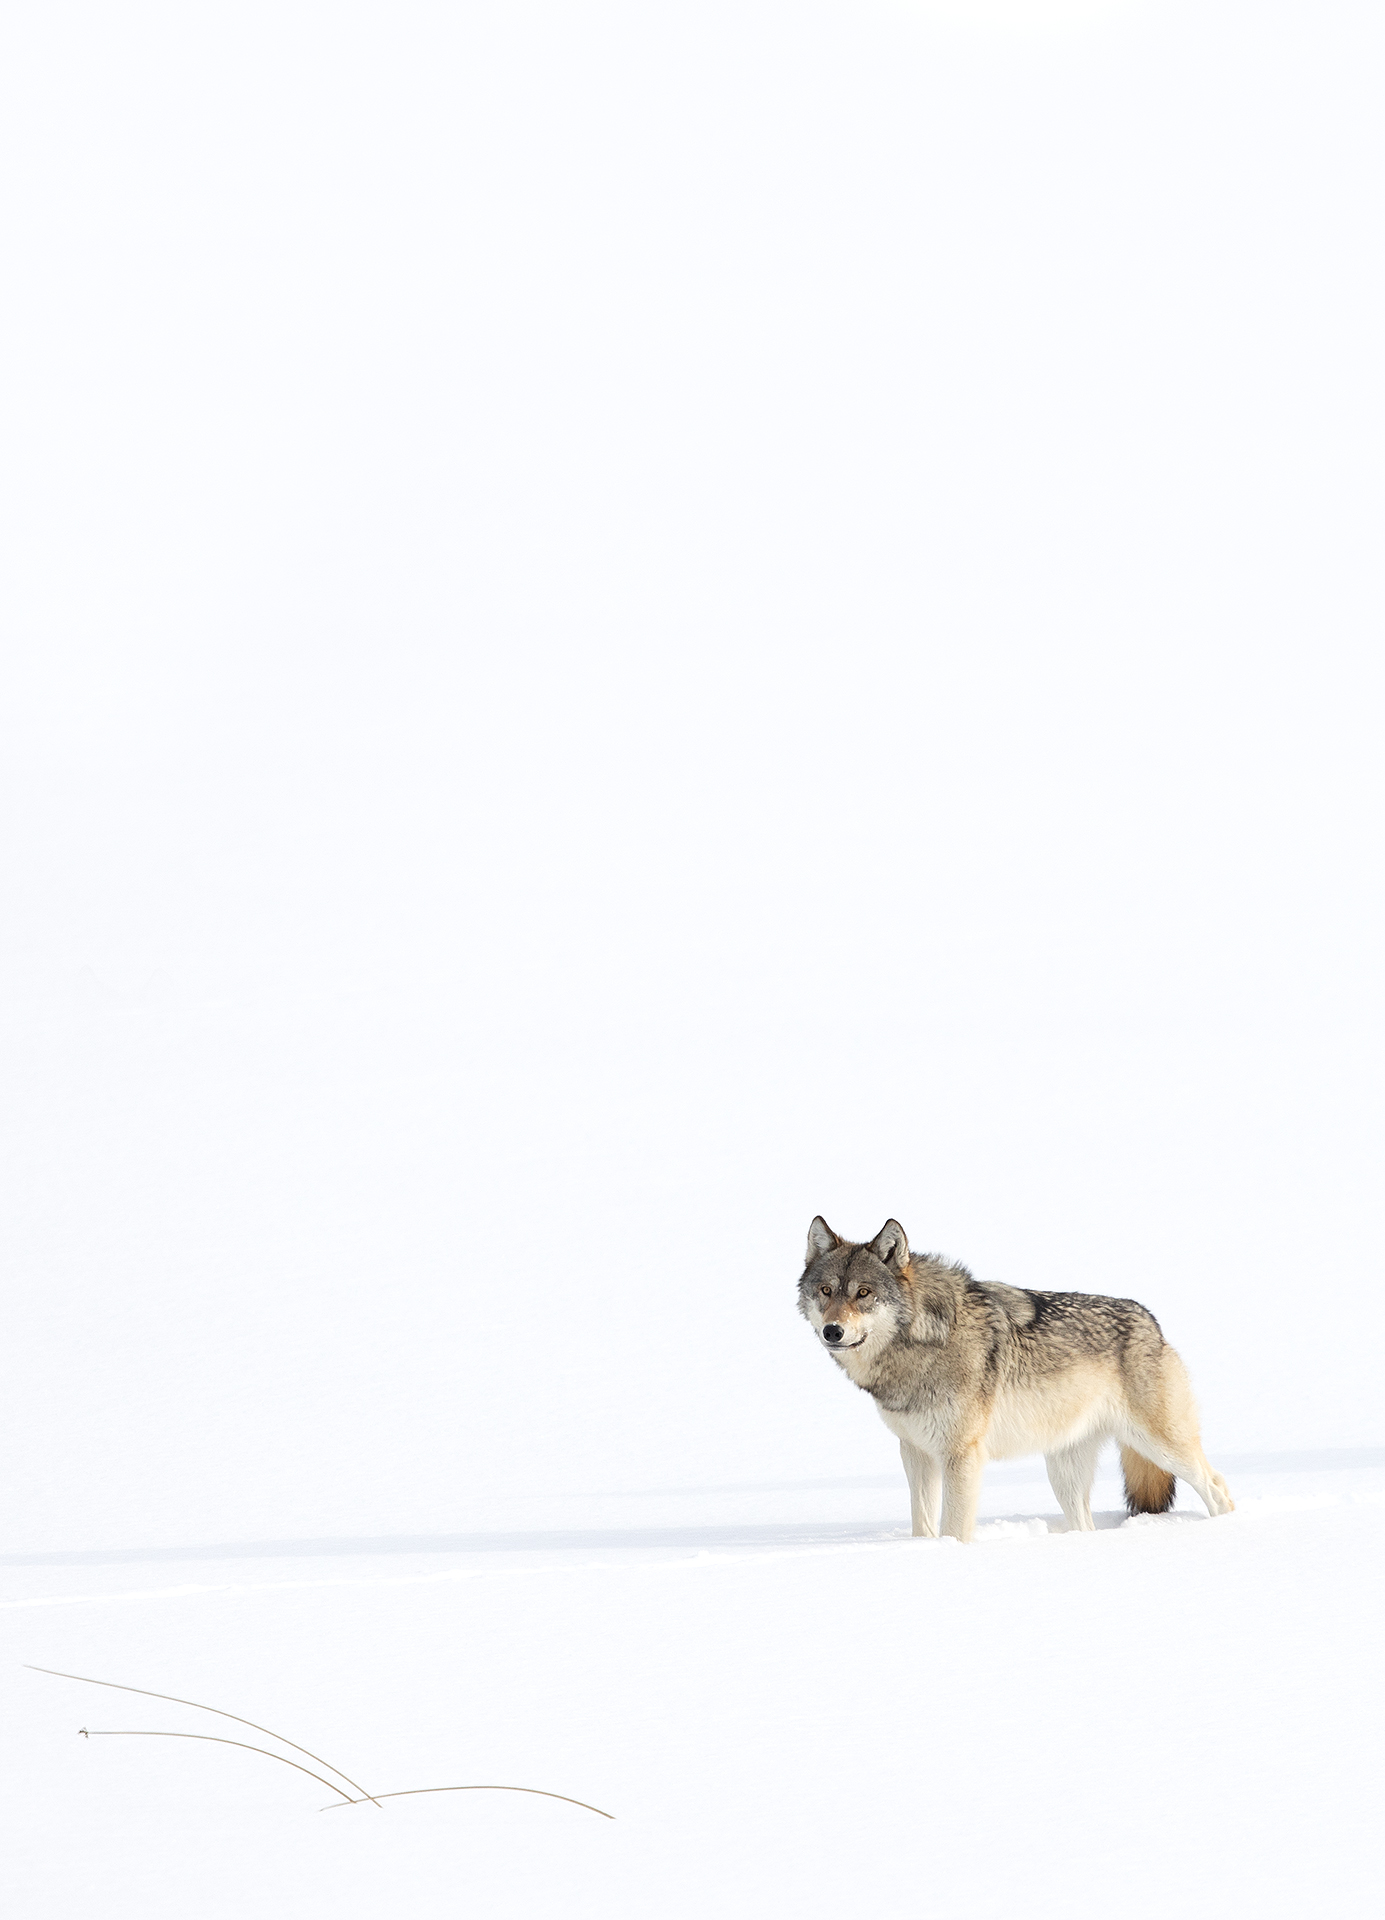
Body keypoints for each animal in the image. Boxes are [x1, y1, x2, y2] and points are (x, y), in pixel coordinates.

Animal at [798, 1217, 1234, 1542]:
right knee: (1085, 1524)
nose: (833, 1331)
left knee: (1218, 1489)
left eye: (864, 1293)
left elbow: (954, 1528)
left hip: (1163, 1447)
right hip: (1064, 1472)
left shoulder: (961, 1455)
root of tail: (1151, 1320)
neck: (923, 1339)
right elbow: (923, 1525)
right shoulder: (916, 1452)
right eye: (826, 1290)